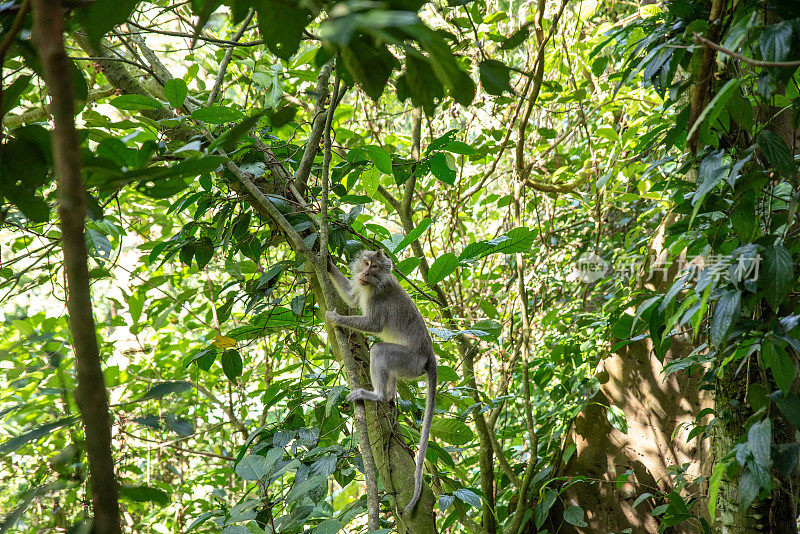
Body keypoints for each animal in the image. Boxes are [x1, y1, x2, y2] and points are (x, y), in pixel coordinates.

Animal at [324, 249, 438, 516]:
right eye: (366, 263)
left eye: (374, 267)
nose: (365, 272)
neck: (374, 284)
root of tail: (429, 356)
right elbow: (352, 297)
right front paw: (327, 261)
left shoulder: (377, 297)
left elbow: (372, 324)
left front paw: (335, 318)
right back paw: (390, 397)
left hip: (409, 360)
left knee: (379, 351)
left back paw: (378, 395)